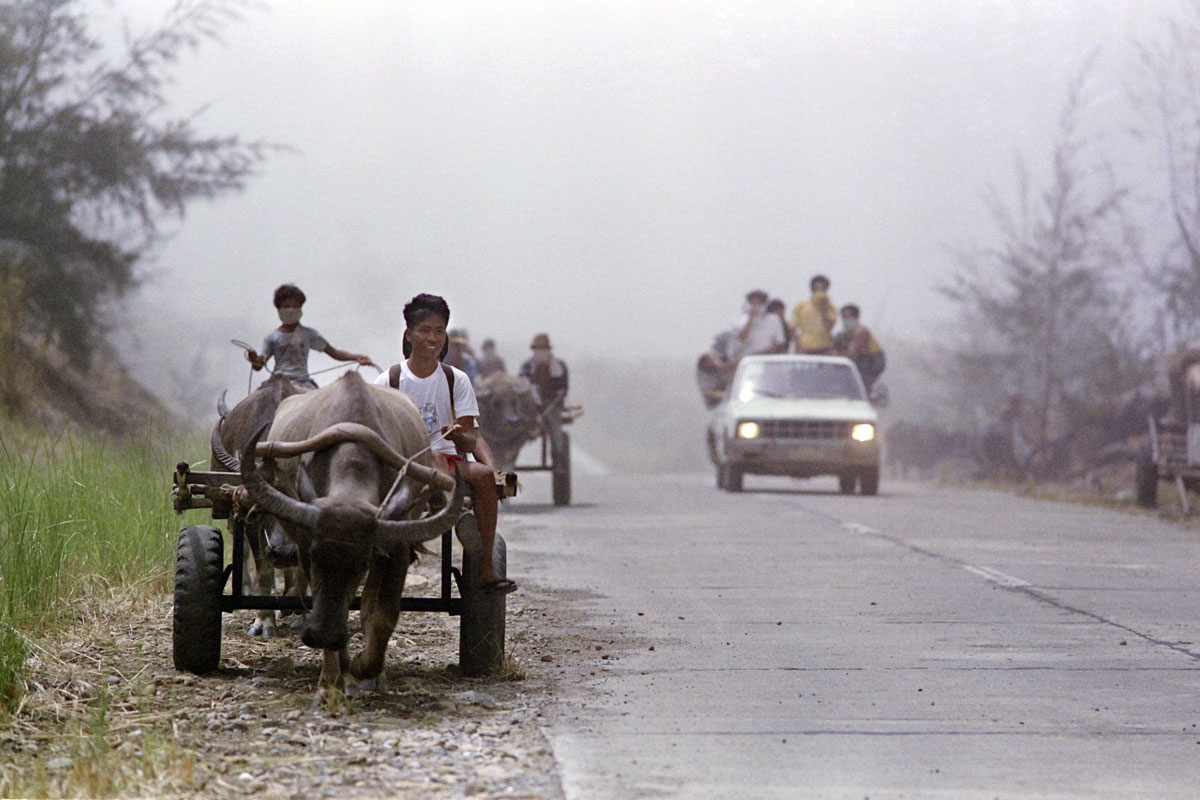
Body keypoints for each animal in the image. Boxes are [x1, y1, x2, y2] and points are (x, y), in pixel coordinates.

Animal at [210, 376, 307, 638]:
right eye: (261, 506)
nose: (284, 553)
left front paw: (300, 612)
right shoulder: (252, 525)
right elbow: (263, 571)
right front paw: (264, 620)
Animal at [241, 371, 460, 705]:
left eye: (361, 562)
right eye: (315, 556)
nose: (322, 634)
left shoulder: (395, 547)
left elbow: (381, 614)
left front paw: (366, 669)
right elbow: (330, 602)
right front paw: (330, 684)